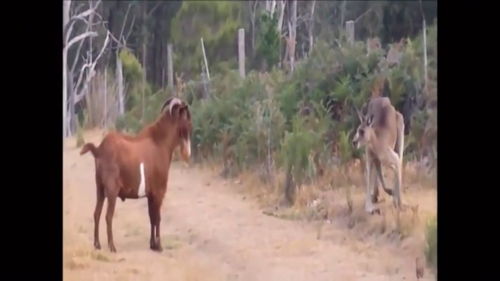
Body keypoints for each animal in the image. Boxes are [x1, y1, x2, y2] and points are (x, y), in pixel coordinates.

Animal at [81, 97, 192, 252]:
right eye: (187, 120)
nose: (187, 152)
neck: (159, 142)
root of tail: (99, 149)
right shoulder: (159, 192)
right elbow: (158, 218)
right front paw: (159, 245)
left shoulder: (150, 195)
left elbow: (151, 217)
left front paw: (152, 244)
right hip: (111, 190)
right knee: (108, 216)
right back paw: (112, 246)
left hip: (100, 188)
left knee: (96, 213)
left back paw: (97, 244)